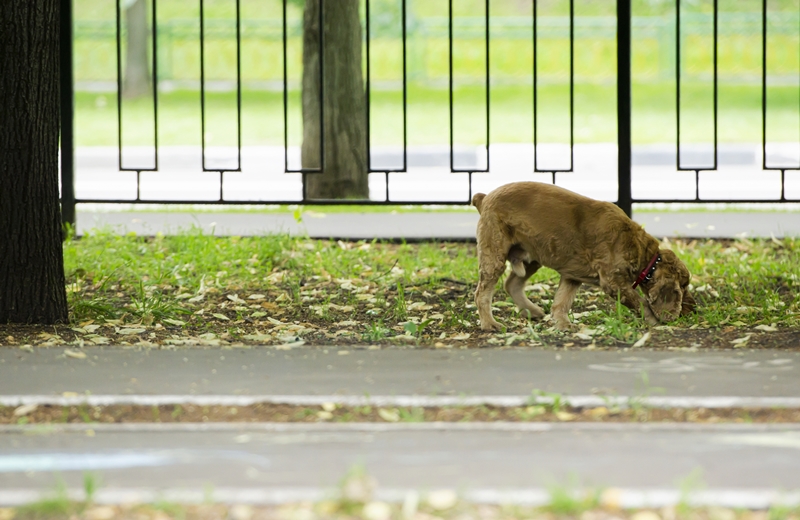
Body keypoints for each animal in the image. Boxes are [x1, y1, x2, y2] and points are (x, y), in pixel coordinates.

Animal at [476, 181, 692, 332]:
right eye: (683, 287)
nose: (694, 310)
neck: (643, 253)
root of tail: (484, 198)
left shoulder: (571, 276)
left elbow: (562, 302)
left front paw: (562, 325)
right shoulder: (613, 282)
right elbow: (642, 302)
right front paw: (655, 322)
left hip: (531, 256)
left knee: (512, 283)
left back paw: (533, 311)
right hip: (494, 253)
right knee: (482, 293)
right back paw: (489, 324)